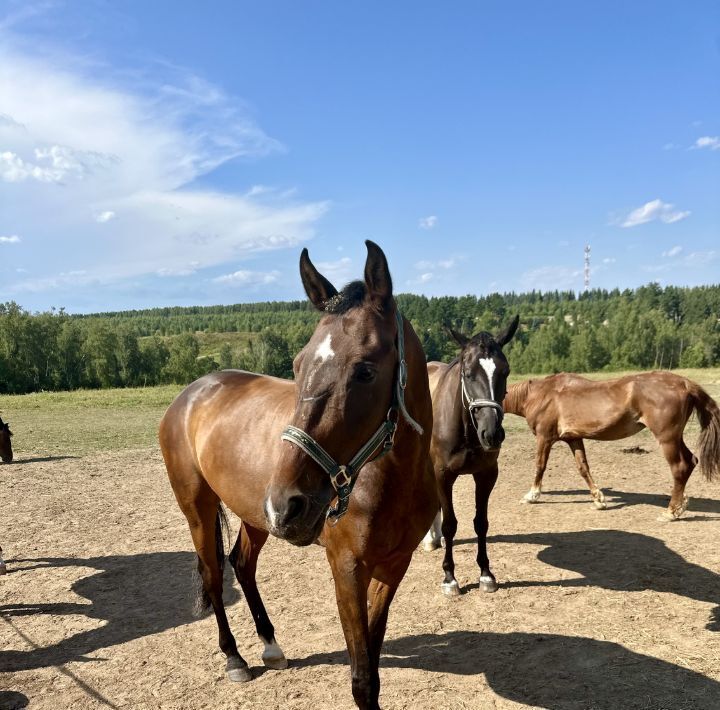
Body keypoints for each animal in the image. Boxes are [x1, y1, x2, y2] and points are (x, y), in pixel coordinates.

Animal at [160, 242, 436, 708]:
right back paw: (234, 658)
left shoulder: (394, 566)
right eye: (297, 364)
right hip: (199, 509)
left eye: (365, 370)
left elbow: (374, 656)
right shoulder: (346, 569)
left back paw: (270, 645)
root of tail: (191, 394)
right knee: (214, 575)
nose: (287, 504)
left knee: (242, 564)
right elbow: (363, 677)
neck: (392, 482)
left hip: (255, 516)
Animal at [420, 318, 520, 596]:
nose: (492, 434)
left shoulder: (486, 475)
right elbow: (451, 524)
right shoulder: (443, 474)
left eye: (505, 372)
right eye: (467, 374)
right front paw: (449, 577)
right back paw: (430, 539)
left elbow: (481, 522)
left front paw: (486, 573)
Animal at [504, 376, 720, 520]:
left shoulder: (545, 438)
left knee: (680, 467)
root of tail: (684, 384)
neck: (539, 395)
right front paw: (599, 500)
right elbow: (583, 468)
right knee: (691, 461)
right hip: (675, 438)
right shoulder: (574, 439)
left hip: (667, 439)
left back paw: (671, 512)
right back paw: (681, 505)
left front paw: (531, 496)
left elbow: (539, 466)